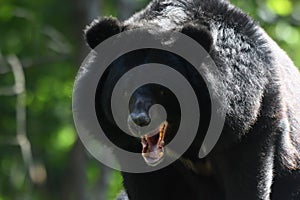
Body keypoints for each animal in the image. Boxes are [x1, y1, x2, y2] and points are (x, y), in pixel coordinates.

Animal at [82, 0, 300, 199]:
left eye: (162, 90)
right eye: (124, 90)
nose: (139, 120)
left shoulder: (251, 121)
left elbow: (248, 177)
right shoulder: (129, 148)